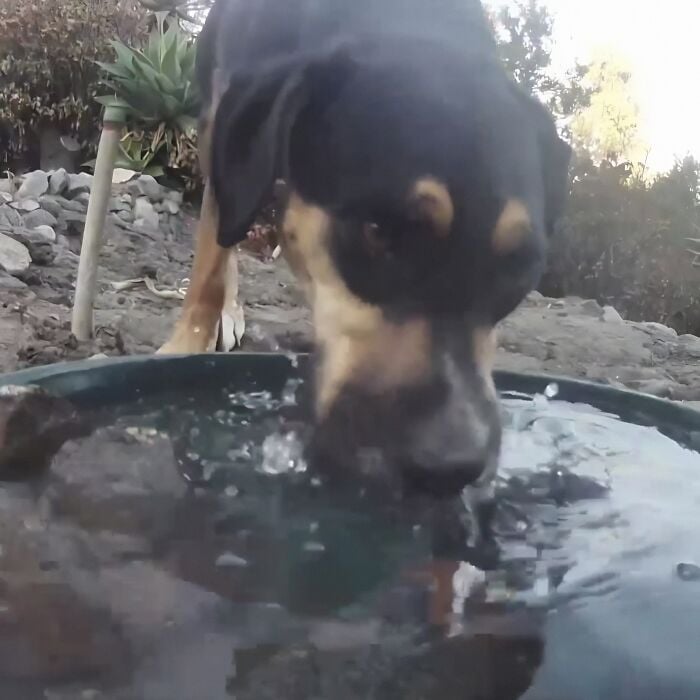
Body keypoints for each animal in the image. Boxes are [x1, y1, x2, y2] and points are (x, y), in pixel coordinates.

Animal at [157, 0, 568, 504]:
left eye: (519, 266)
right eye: (378, 231)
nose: (452, 467)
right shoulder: (225, 119)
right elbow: (212, 255)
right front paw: (186, 343)